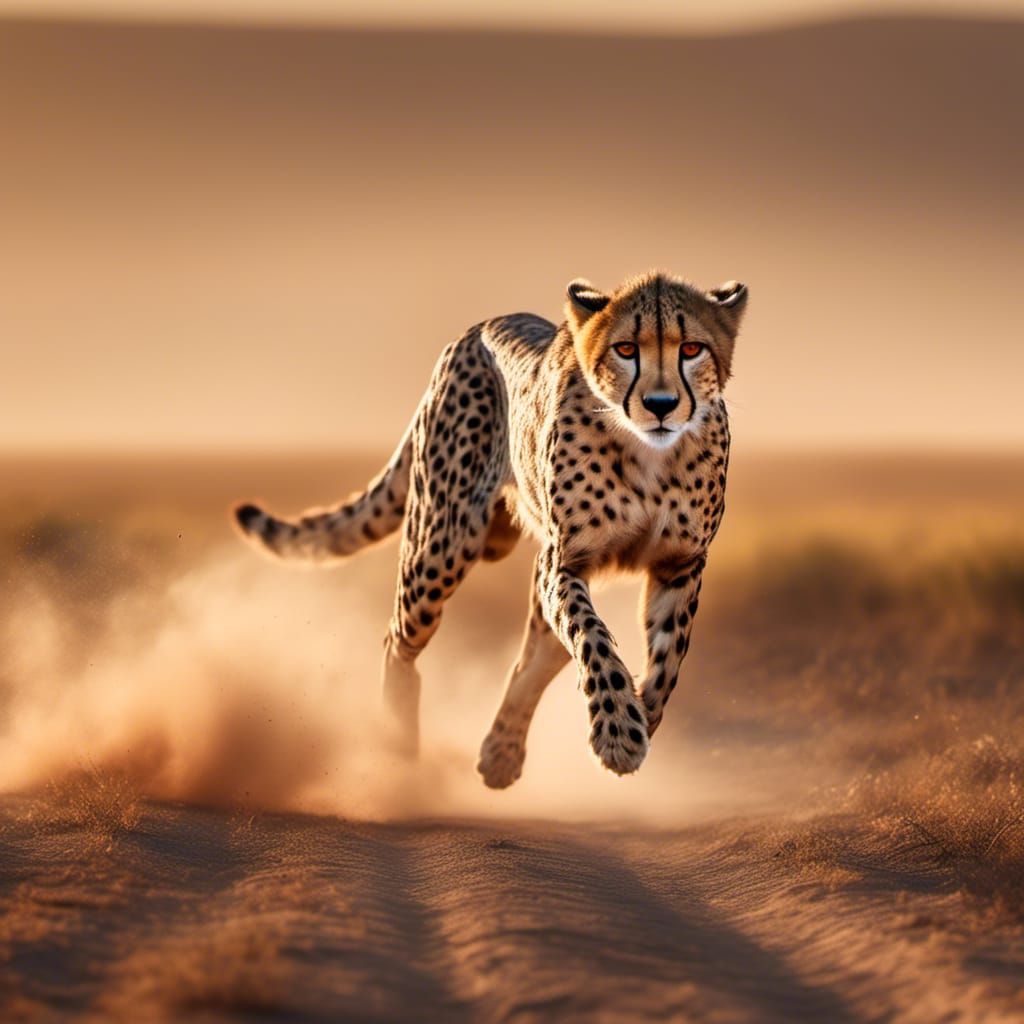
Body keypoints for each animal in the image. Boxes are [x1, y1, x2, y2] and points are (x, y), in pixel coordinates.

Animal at [234, 271, 748, 788]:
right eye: (625, 350)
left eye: (691, 349)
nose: (660, 404)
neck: (649, 453)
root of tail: (475, 330)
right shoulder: (564, 561)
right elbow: (594, 639)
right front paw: (620, 731)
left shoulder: (680, 564)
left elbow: (668, 658)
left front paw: (641, 716)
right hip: (442, 543)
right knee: (399, 640)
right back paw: (398, 746)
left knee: (533, 658)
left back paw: (501, 752)